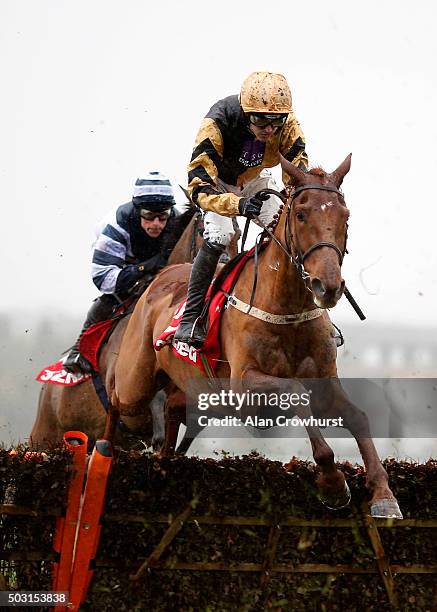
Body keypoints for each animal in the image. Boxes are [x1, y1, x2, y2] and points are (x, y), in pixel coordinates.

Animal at [108, 155, 402, 520]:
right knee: (117, 401)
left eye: (344, 216)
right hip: (134, 384)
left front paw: (383, 494)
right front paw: (333, 483)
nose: (328, 287)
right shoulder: (244, 386)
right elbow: (296, 394)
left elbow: (358, 417)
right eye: (301, 214)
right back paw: (101, 449)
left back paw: (163, 464)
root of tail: (162, 276)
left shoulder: (325, 383)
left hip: (193, 392)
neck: (287, 311)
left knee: (172, 411)